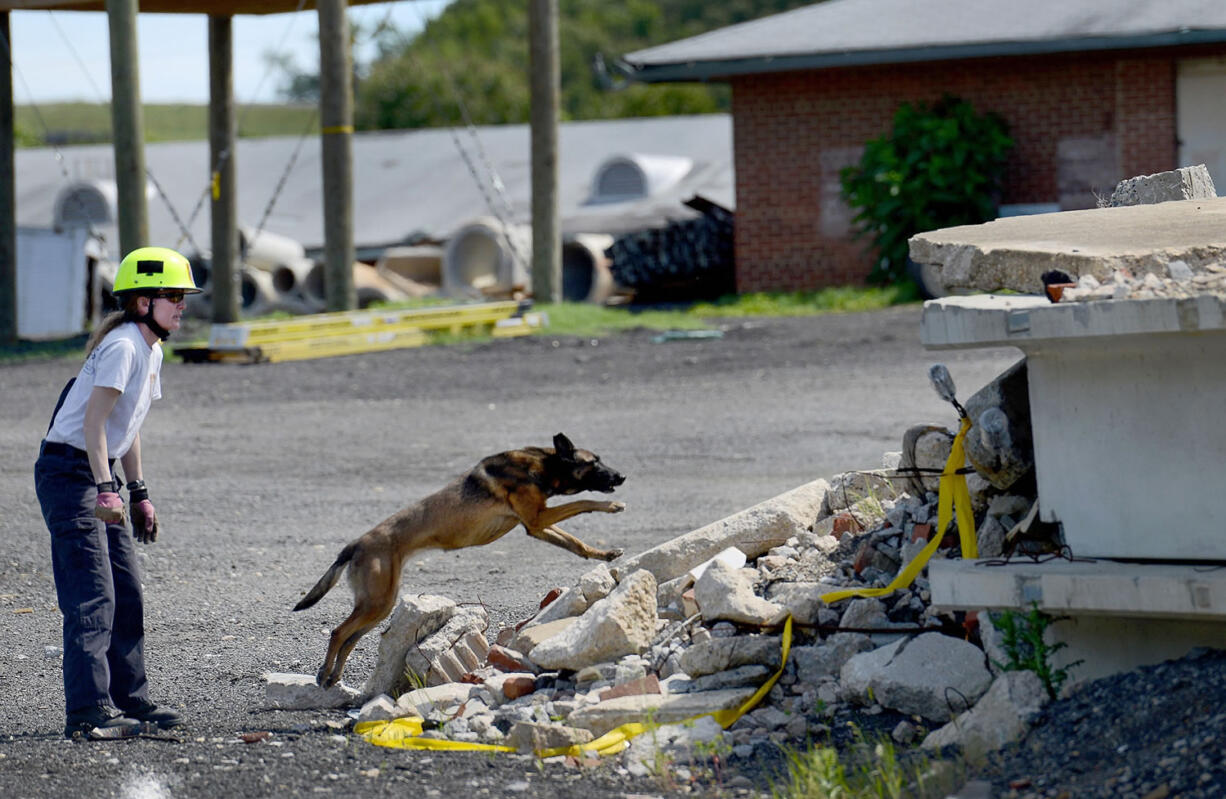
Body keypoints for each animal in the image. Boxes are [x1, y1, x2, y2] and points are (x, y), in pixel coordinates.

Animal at [291, 431, 627, 686]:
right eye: (594, 462)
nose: (622, 475)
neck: (542, 464)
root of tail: (356, 544)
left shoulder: (535, 524)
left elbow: (575, 542)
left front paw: (604, 553)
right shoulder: (538, 516)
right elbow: (585, 502)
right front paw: (611, 506)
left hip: (379, 604)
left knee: (349, 638)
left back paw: (334, 676)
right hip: (377, 602)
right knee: (338, 632)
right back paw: (324, 673)